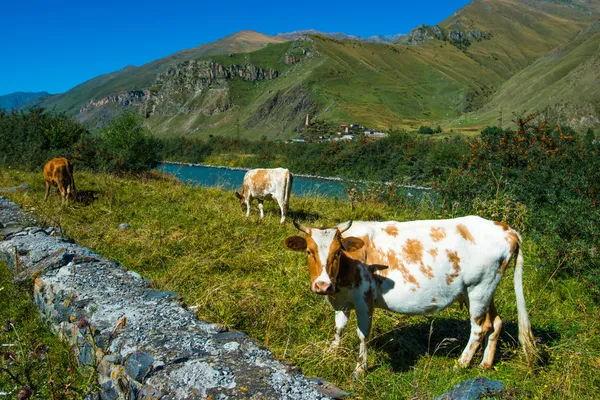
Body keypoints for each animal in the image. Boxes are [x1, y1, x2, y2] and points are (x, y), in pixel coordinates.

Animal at [284, 216, 540, 376]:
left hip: (480, 288)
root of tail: (505, 228)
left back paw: (461, 364)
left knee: (479, 328)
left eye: (337, 252)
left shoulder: (364, 299)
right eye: (309, 251)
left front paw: (360, 369)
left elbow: (362, 335)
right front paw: (330, 352)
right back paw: (485, 365)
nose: (322, 285)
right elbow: (339, 328)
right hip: (481, 290)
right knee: (496, 322)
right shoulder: (343, 299)